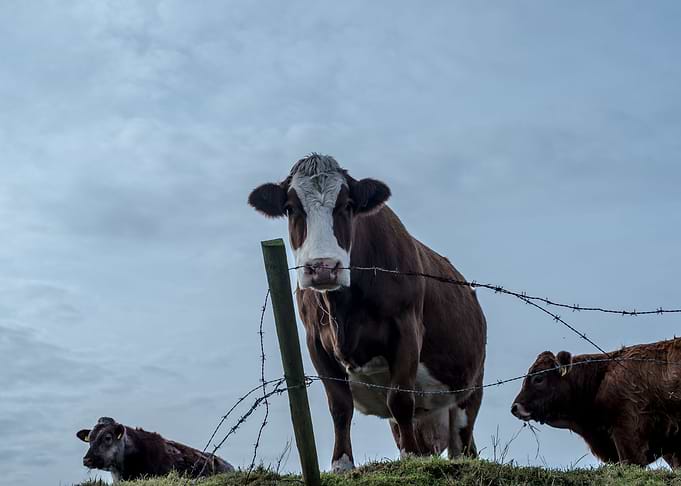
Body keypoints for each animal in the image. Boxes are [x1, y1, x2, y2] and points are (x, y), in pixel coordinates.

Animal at [248, 153, 487, 472]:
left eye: (348, 205)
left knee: (462, 442)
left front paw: (409, 460)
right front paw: (342, 465)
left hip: (469, 391)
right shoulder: (315, 342)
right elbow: (340, 405)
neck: (343, 312)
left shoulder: (406, 329)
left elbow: (400, 399)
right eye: (290, 208)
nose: (323, 267)